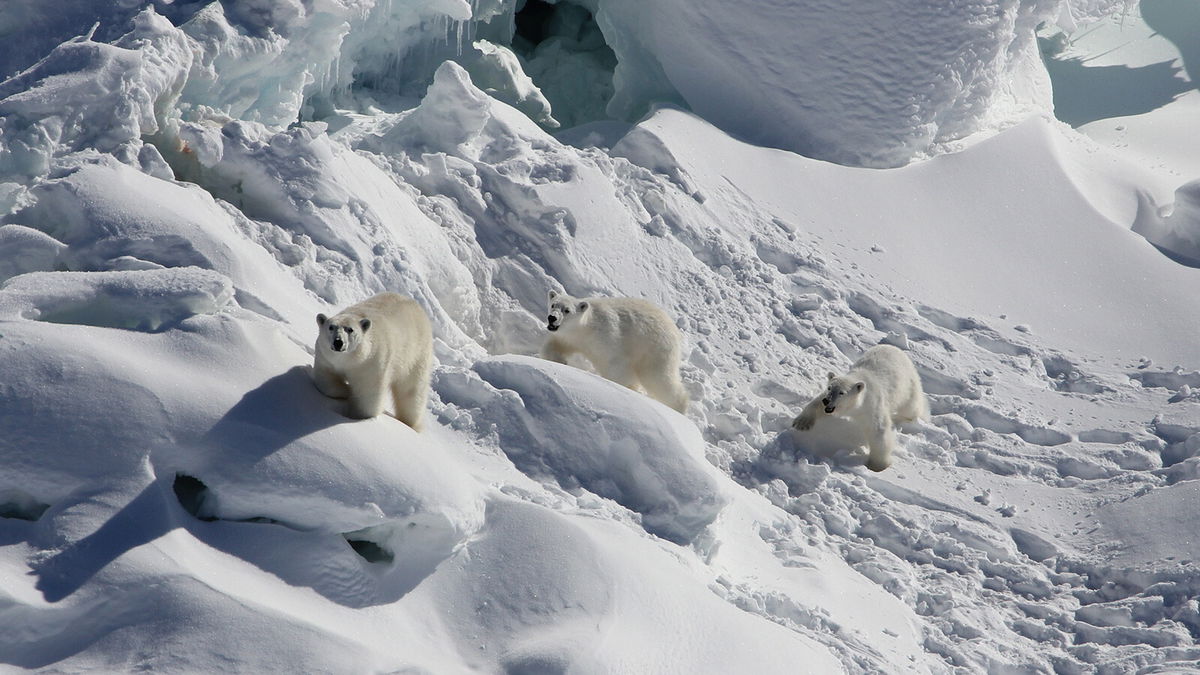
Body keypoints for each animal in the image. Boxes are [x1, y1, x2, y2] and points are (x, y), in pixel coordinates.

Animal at [312, 291, 434, 427]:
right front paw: (346, 390)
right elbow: (325, 381)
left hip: (416, 355)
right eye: (331, 327)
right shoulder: (326, 359)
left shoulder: (371, 363)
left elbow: (367, 397)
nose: (338, 342)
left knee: (411, 392)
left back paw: (410, 423)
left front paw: (356, 415)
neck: (350, 360)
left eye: (350, 329)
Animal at [542, 288, 691, 410]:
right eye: (553, 304)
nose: (552, 318)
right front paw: (559, 360)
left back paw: (678, 407)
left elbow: (615, 366)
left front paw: (625, 387)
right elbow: (555, 345)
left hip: (654, 349)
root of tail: (674, 329)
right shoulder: (571, 338)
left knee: (659, 378)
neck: (586, 328)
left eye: (567, 310)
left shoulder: (606, 338)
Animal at [792, 343, 931, 470]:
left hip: (908, 386)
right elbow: (816, 403)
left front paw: (877, 465)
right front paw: (801, 423)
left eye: (841, 392)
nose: (827, 401)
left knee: (911, 408)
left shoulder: (872, 405)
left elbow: (878, 431)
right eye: (829, 388)